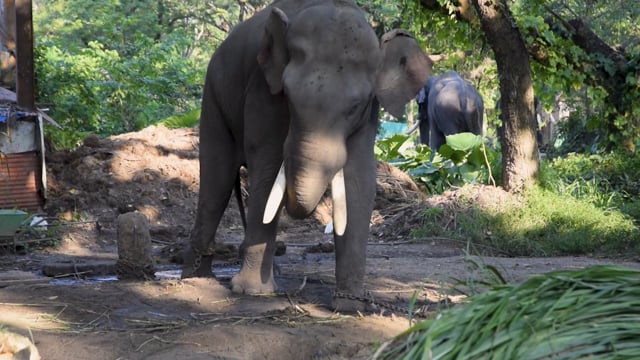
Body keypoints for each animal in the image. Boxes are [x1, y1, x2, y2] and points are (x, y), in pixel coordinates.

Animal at [180, 0, 430, 312]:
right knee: (217, 179)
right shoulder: (262, 90)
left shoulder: (369, 114)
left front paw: (350, 305)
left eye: (355, 106)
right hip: (213, 94)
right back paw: (196, 276)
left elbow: (359, 179)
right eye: (288, 95)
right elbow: (267, 163)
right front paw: (252, 292)